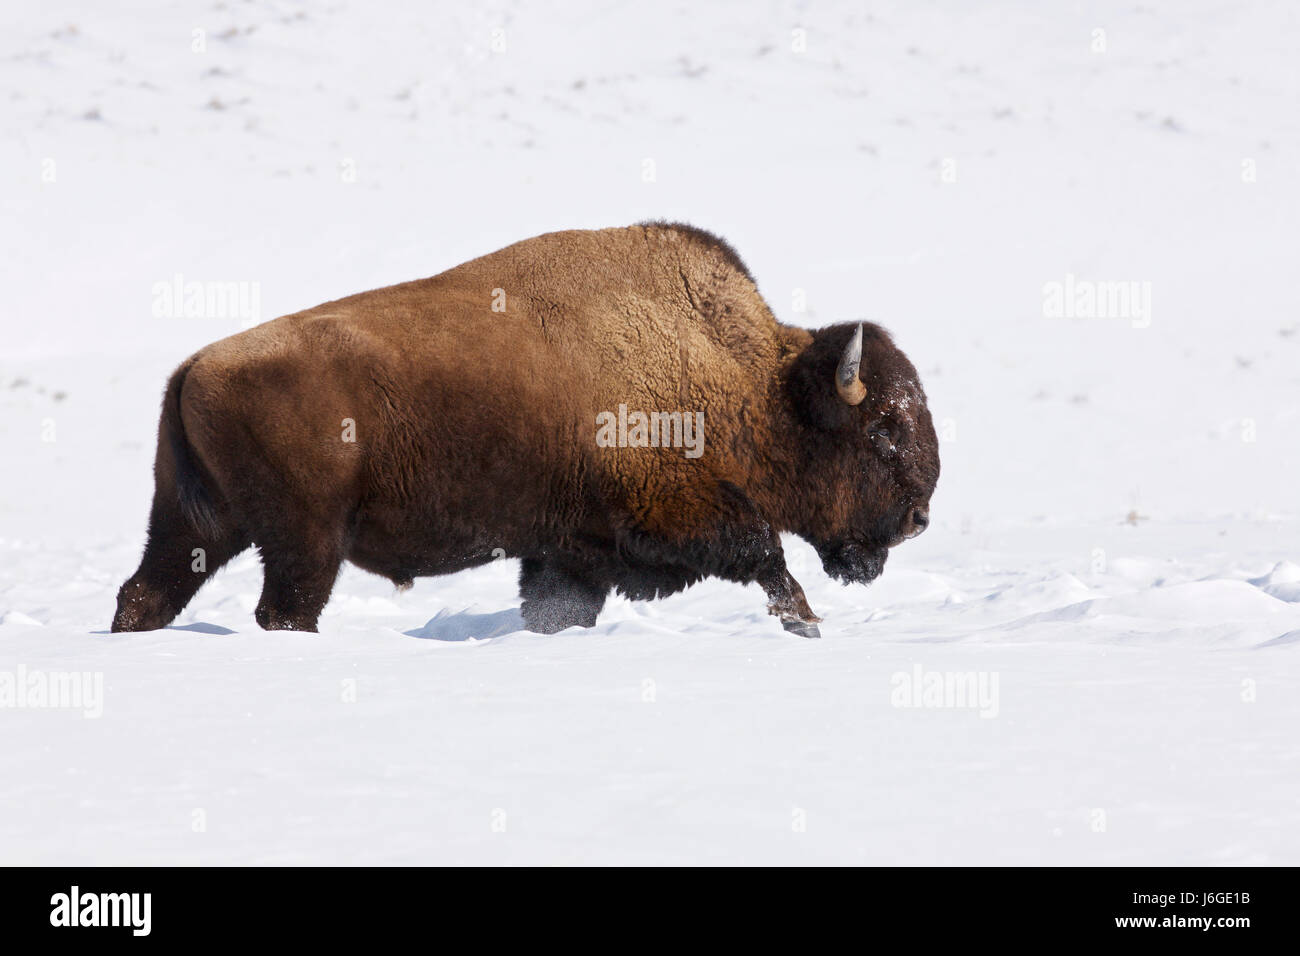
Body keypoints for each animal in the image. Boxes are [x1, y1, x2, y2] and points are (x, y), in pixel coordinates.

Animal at [113, 222, 939, 638]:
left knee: (145, 593)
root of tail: (195, 366)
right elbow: (768, 555)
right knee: (284, 609)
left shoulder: (571, 552)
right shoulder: (677, 516)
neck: (746, 376)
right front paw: (807, 625)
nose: (918, 517)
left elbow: (557, 609)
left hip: (196, 524)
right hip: (304, 539)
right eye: (881, 431)